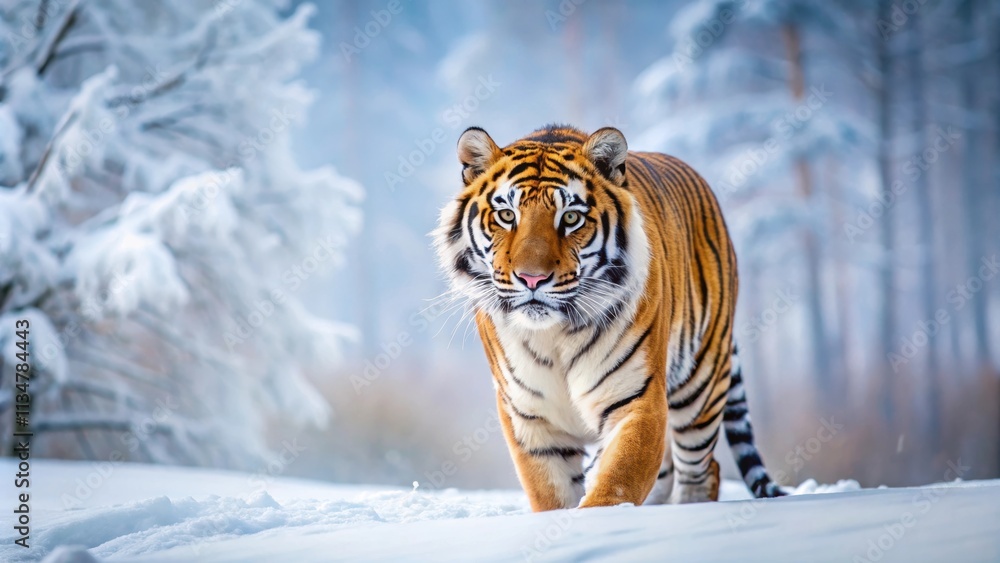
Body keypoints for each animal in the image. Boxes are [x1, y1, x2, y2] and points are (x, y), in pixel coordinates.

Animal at [433, 124, 786, 511]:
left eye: (571, 218)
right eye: (507, 216)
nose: (532, 279)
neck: (553, 335)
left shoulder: (637, 400)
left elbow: (615, 486)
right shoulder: (529, 415)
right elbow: (552, 495)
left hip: (701, 384)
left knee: (702, 470)